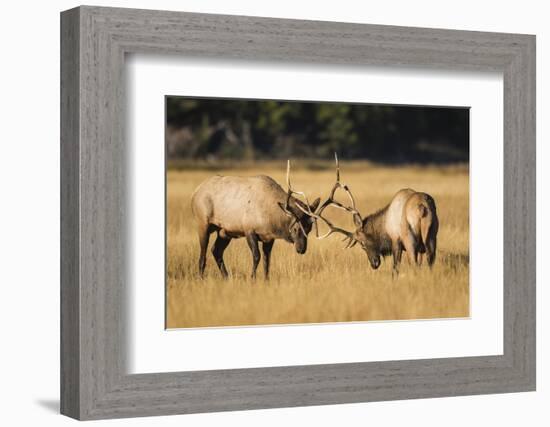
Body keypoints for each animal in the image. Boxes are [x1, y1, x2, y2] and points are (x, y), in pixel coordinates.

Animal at [192, 162, 322, 280]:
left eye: (309, 228)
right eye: (295, 228)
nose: (301, 249)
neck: (271, 217)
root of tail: (195, 192)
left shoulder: (269, 237)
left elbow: (266, 260)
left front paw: (266, 280)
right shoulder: (249, 230)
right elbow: (256, 256)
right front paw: (252, 278)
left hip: (224, 232)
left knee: (216, 250)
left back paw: (226, 277)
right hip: (203, 223)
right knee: (203, 255)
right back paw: (201, 278)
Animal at [300, 155, 442, 274]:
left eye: (362, 244)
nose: (374, 264)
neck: (384, 225)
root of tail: (422, 207)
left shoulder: (396, 240)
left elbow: (395, 268)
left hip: (409, 237)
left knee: (414, 263)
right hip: (432, 234)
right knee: (430, 261)